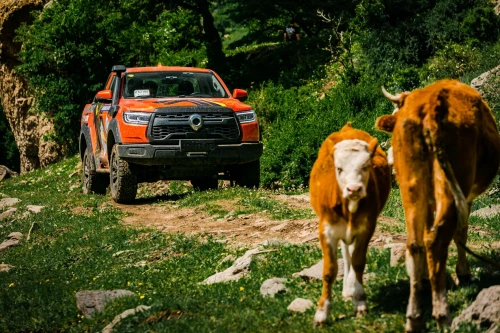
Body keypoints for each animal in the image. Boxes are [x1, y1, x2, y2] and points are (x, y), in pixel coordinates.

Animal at [308, 123, 390, 322]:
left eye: (366, 166)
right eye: (339, 168)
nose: (354, 189)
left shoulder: (366, 228)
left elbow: (359, 262)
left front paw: (360, 302)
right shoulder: (326, 230)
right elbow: (329, 270)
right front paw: (322, 312)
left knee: (351, 255)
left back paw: (351, 288)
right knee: (346, 254)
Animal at [376, 79, 500, 330]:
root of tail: (430, 105)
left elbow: (426, 230)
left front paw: (425, 278)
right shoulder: (466, 198)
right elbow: (461, 233)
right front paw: (463, 274)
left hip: (411, 187)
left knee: (415, 243)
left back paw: (414, 317)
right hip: (455, 181)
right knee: (437, 239)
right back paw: (442, 314)